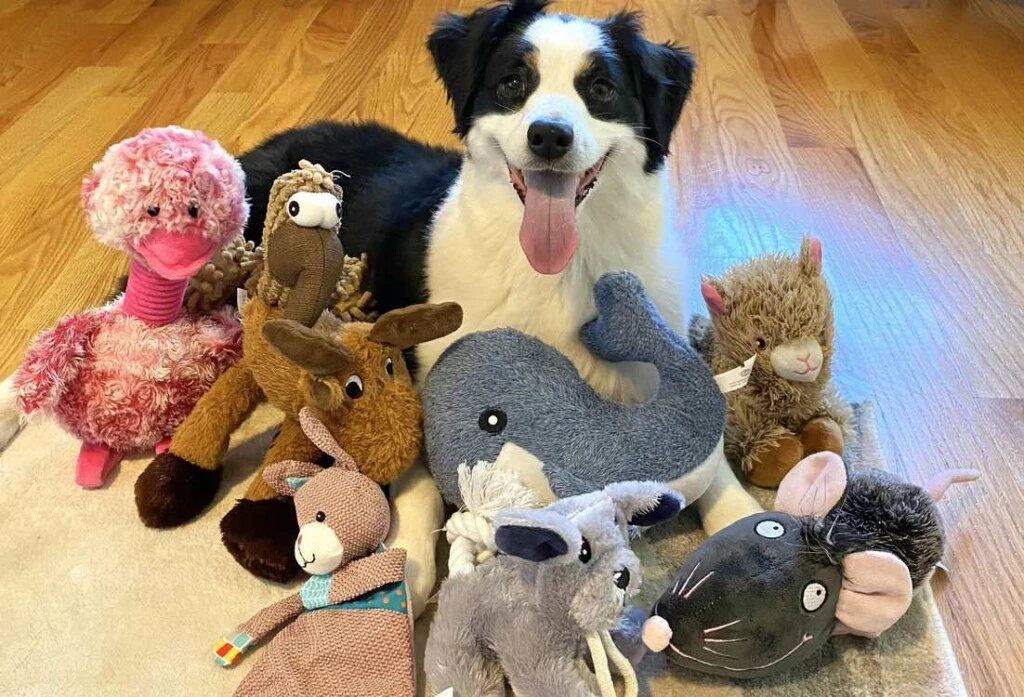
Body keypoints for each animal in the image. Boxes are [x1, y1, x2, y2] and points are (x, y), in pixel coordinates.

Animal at [239, 0, 761, 613]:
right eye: (513, 83)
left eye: (601, 88)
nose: (549, 136)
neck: (555, 272)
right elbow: (417, 475)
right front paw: (406, 565)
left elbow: (708, 448)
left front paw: (748, 522)